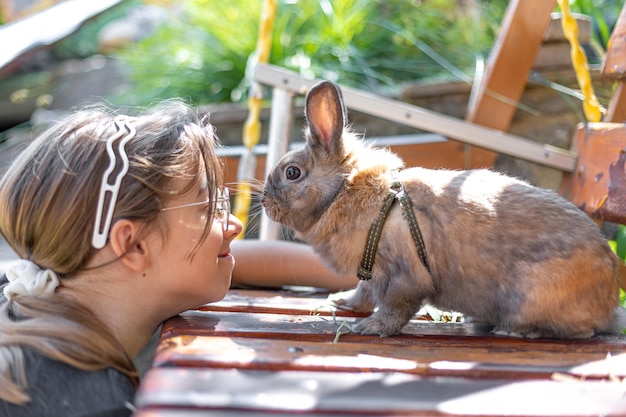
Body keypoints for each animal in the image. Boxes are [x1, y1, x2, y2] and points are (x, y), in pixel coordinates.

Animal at [262, 80, 624, 338]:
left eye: (292, 173)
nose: (264, 203)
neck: (346, 191)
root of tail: (608, 300)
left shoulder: (404, 274)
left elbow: (395, 307)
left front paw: (370, 328)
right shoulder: (371, 272)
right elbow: (363, 293)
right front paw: (341, 302)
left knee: (582, 332)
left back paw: (517, 331)